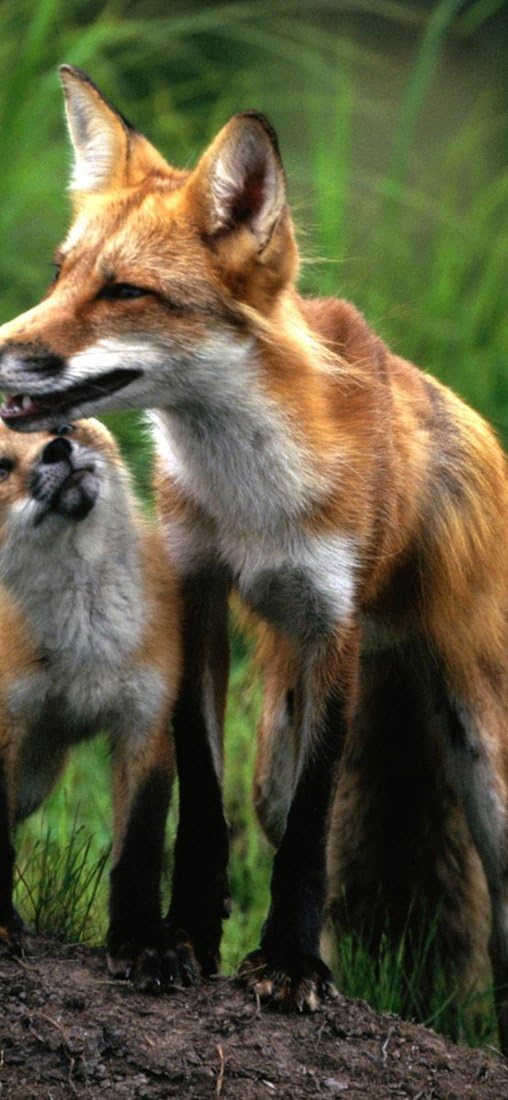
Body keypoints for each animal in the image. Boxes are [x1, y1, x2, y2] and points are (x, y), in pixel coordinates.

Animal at [0, 417, 185, 991]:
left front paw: (142, 943)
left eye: (63, 425)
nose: (59, 449)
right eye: (1, 466)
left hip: (34, 782)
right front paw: (0, 927)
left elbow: (139, 852)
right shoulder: (5, 722)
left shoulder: (147, 722)